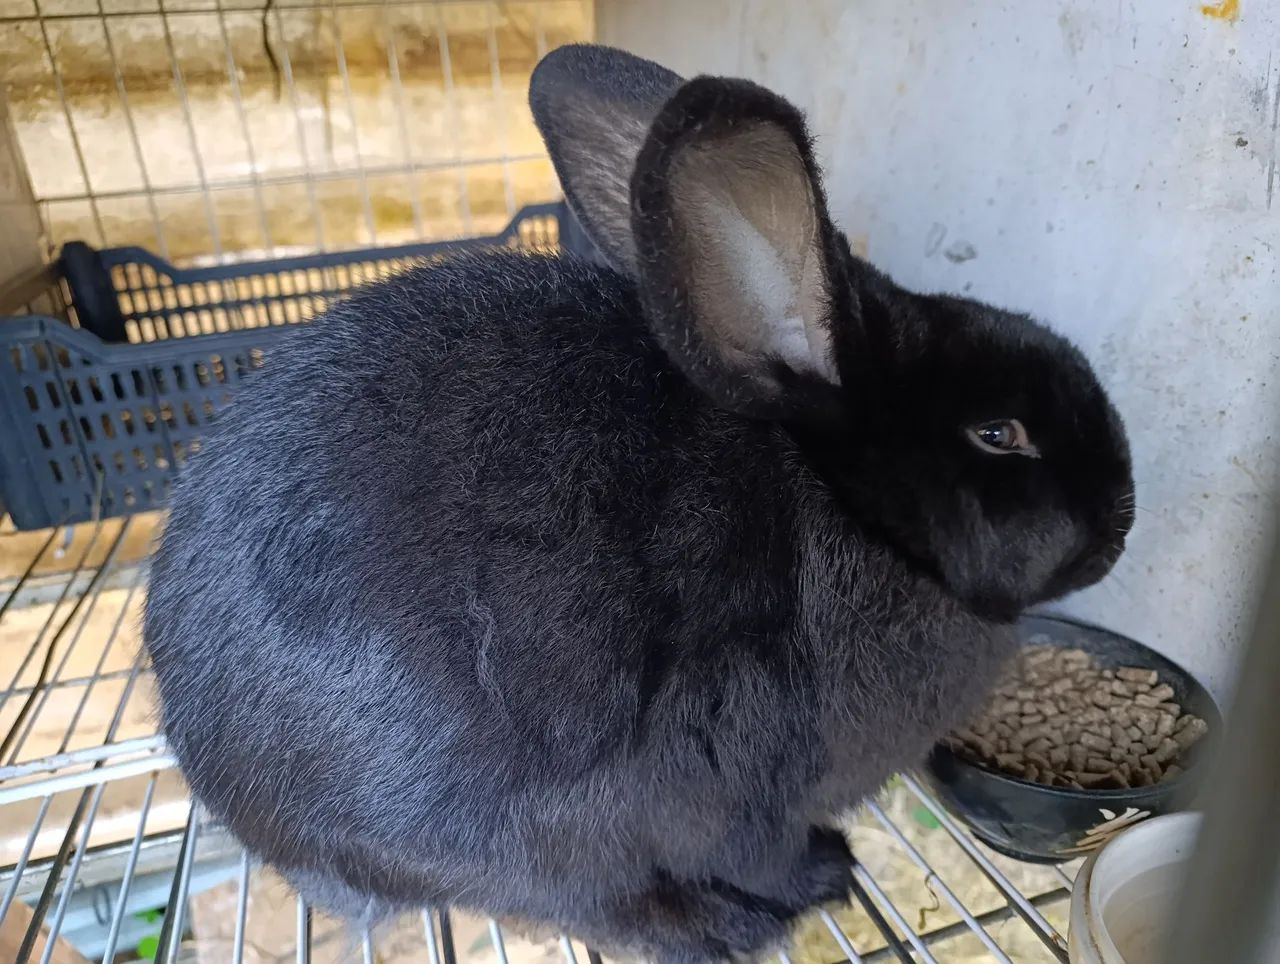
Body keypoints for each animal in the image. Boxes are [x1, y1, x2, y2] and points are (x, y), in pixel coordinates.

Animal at [144, 43, 1134, 964]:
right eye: (999, 433)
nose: (1121, 519)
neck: (847, 511)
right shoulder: (748, 785)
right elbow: (761, 849)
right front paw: (826, 875)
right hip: (527, 835)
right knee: (598, 903)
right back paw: (729, 924)